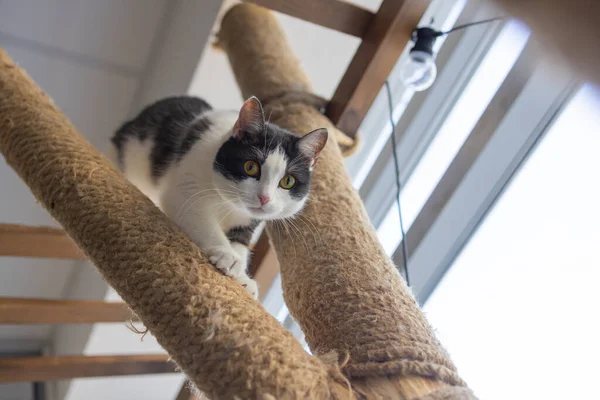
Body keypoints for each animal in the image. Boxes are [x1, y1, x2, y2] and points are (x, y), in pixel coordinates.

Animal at [110, 96, 330, 296]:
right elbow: (200, 219)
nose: (264, 198)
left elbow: (241, 243)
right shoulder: (185, 187)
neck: (229, 203)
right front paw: (227, 255)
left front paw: (243, 277)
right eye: (251, 167)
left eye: (288, 181)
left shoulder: (250, 221)